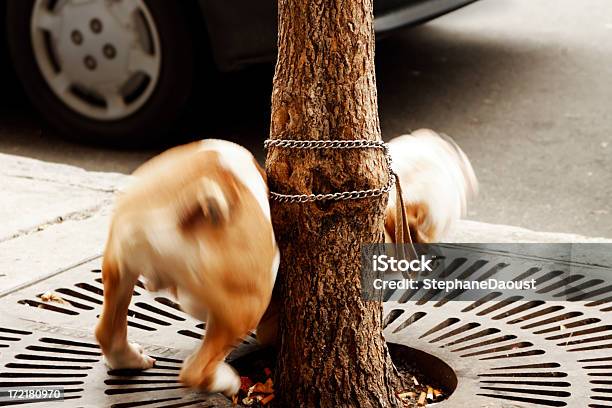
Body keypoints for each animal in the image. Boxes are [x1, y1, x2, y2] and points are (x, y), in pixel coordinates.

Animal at [95, 139, 280, 396]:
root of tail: (193, 199)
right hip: (247, 306)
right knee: (197, 371)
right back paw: (226, 380)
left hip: (120, 266)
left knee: (108, 331)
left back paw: (129, 359)